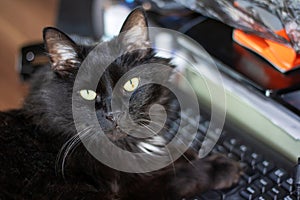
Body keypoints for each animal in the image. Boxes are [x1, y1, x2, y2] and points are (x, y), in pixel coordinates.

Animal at [0, 7, 241, 199]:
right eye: (88, 93)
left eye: (131, 84)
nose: (113, 114)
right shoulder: (131, 189)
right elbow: (180, 176)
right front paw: (222, 166)